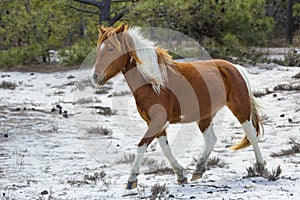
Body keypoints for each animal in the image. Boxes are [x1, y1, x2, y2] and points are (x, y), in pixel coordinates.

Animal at [91, 23, 268, 189]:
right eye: (99, 49)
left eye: (111, 48)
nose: (95, 77)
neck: (153, 82)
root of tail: (235, 68)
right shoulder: (153, 122)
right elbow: (165, 148)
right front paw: (181, 175)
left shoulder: (159, 120)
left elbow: (142, 145)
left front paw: (131, 180)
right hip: (205, 116)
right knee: (211, 139)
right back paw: (198, 170)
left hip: (240, 109)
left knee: (252, 134)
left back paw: (262, 168)